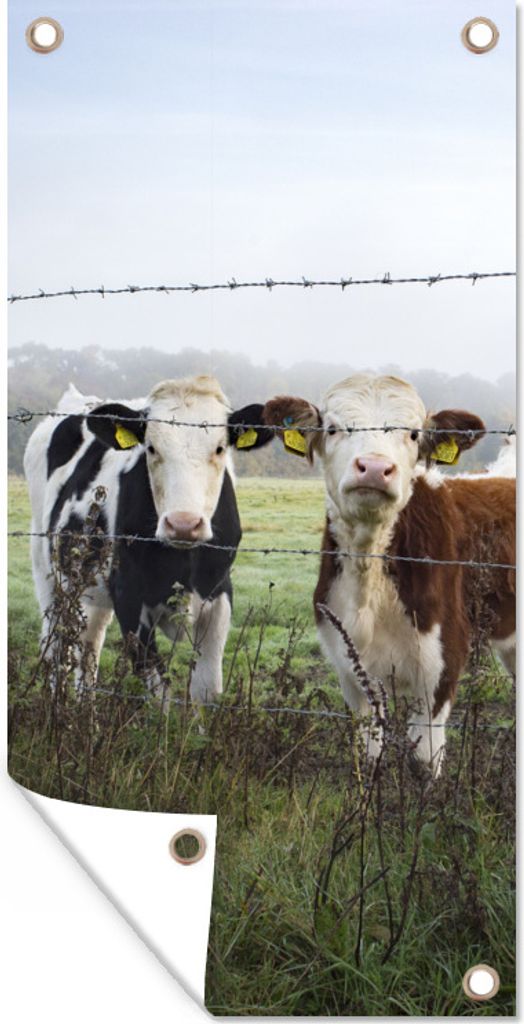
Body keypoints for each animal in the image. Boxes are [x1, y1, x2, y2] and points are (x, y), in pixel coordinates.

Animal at [24, 376, 274, 705]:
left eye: (220, 448)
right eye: (151, 448)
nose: (183, 524)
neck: (181, 565)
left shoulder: (219, 594)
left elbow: (206, 689)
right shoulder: (129, 597)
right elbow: (159, 692)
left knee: (89, 643)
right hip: (48, 570)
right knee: (55, 643)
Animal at [263, 374, 516, 774]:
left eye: (413, 434)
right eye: (333, 428)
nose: (374, 467)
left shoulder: (443, 661)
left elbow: (425, 761)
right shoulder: (349, 666)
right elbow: (368, 753)